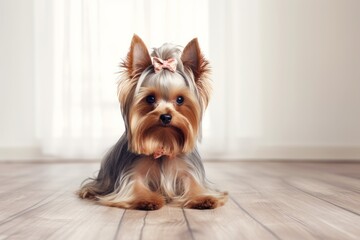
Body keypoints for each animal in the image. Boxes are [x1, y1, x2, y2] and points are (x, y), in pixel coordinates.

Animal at [79, 34, 228, 209]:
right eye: (150, 98)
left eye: (180, 99)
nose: (166, 117)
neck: (163, 142)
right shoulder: (131, 173)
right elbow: (134, 186)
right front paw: (147, 200)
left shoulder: (189, 171)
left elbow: (195, 185)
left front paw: (203, 198)